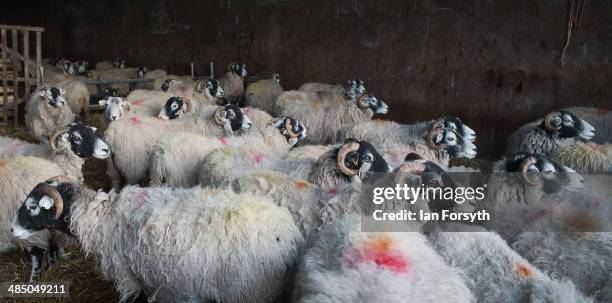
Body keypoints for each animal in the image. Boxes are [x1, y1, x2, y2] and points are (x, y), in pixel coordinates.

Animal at [11, 178, 304, 303]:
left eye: (33, 207)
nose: (11, 230)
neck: (98, 217)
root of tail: (289, 237)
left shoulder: (128, 276)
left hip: (249, 292)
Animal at [105, 104, 251, 188]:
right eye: (231, 114)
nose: (250, 124)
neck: (207, 127)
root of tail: (111, 134)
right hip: (131, 166)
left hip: (112, 166)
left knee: (115, 181)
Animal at [148, 116, 302, 188]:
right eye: (295, 126)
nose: (305, 131)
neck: (267, 141)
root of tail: (160, 150)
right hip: (177, 179)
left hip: (157, 178)